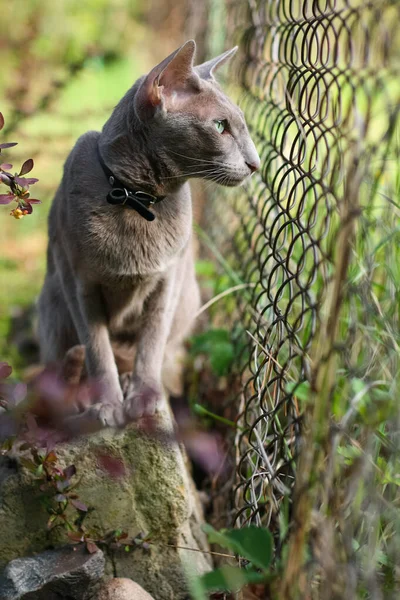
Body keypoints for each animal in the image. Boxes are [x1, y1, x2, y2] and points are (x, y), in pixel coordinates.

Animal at [37, 39, 260, 428]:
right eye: (220, 126)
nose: (256, 163)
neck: (136, 199)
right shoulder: (78, 281)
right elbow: (97, 348)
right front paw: (107, 404)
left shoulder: (169, 279)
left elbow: (152, 343)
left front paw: (143, 399)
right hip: (51, 305)